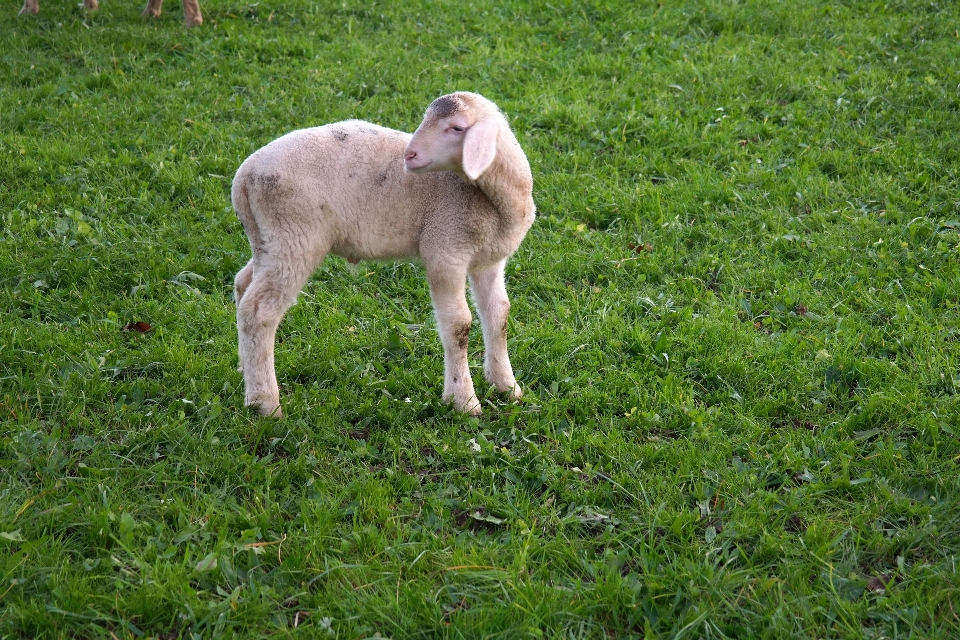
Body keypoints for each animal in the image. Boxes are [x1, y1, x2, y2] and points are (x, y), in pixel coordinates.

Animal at [230, 92, 536, 418]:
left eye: (457, 128)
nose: (409, 156)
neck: (494, 200)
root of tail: (244, 178)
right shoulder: (444, 249)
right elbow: (458, 325)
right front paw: (463, 400)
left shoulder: (489, 260)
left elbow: (498, 314)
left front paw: (507, 386)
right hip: (294, 236)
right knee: (259, 311)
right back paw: (266, 403)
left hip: (268, 239)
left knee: (243, 284)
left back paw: (245, 371)